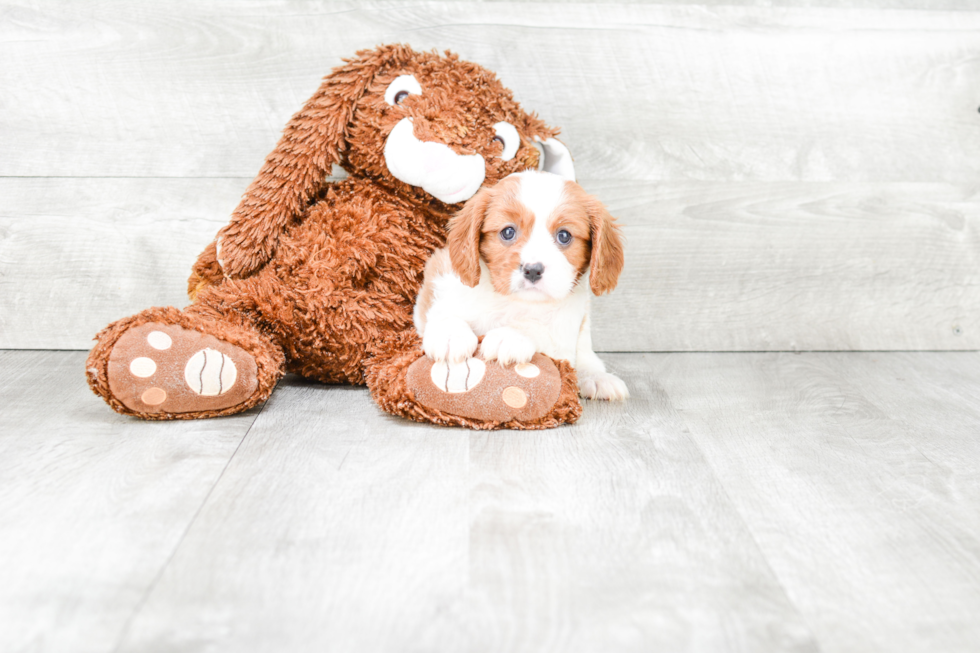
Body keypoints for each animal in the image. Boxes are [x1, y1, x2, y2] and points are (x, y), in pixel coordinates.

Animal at [414, 168, 628, 400]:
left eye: (564, 236)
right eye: (508, 232)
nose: (533, 269)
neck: (513, 302)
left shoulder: (565, 329)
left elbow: (538, 329)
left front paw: (510, 336)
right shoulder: (445, 284)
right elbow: (445, 312)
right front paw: (450, 334)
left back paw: (597, 377)